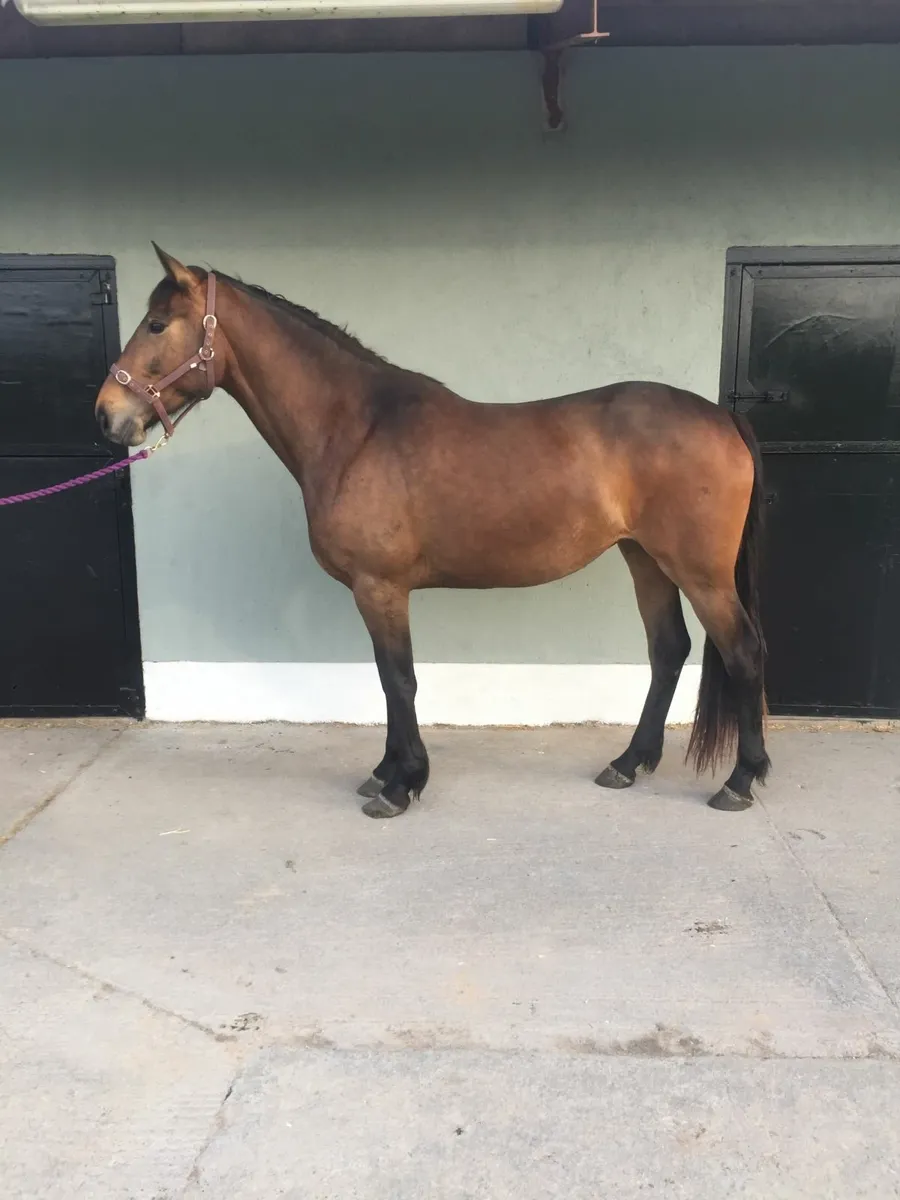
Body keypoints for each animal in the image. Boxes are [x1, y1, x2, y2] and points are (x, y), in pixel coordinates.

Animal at [95, 245, 770, 819]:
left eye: (156, 324)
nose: (107, 414)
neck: (356, 429)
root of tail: (721, 417)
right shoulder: (375, 592)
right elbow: (386, 679)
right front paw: (385, 771)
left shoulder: (380, 586)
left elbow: (399, 680)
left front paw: (402, 785)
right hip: (644, 557)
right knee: (668, 650)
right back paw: (629, 764)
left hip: (700, 572)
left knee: (742, 651)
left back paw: (741, 780)